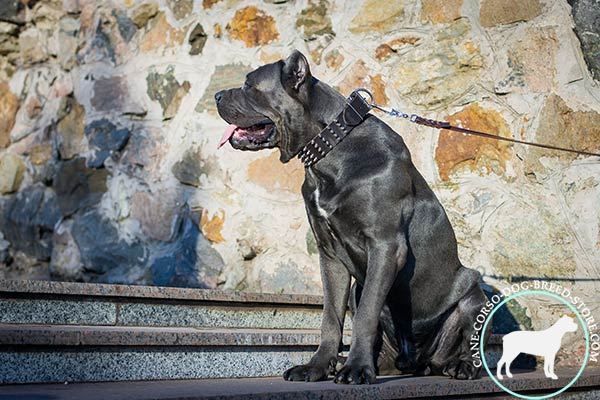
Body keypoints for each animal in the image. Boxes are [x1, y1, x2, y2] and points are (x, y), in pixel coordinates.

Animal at [214, 50, 488, 384]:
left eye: (249, 85)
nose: (216, 95)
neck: (330, 151)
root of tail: (419, 361)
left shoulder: (385, 247)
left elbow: (367, 314)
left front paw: (357, 369)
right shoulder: (330, 255)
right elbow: (331, 317)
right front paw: (318, 366)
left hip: (474, 295)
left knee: (471, 338)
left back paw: (463, 365)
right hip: (361, 292)